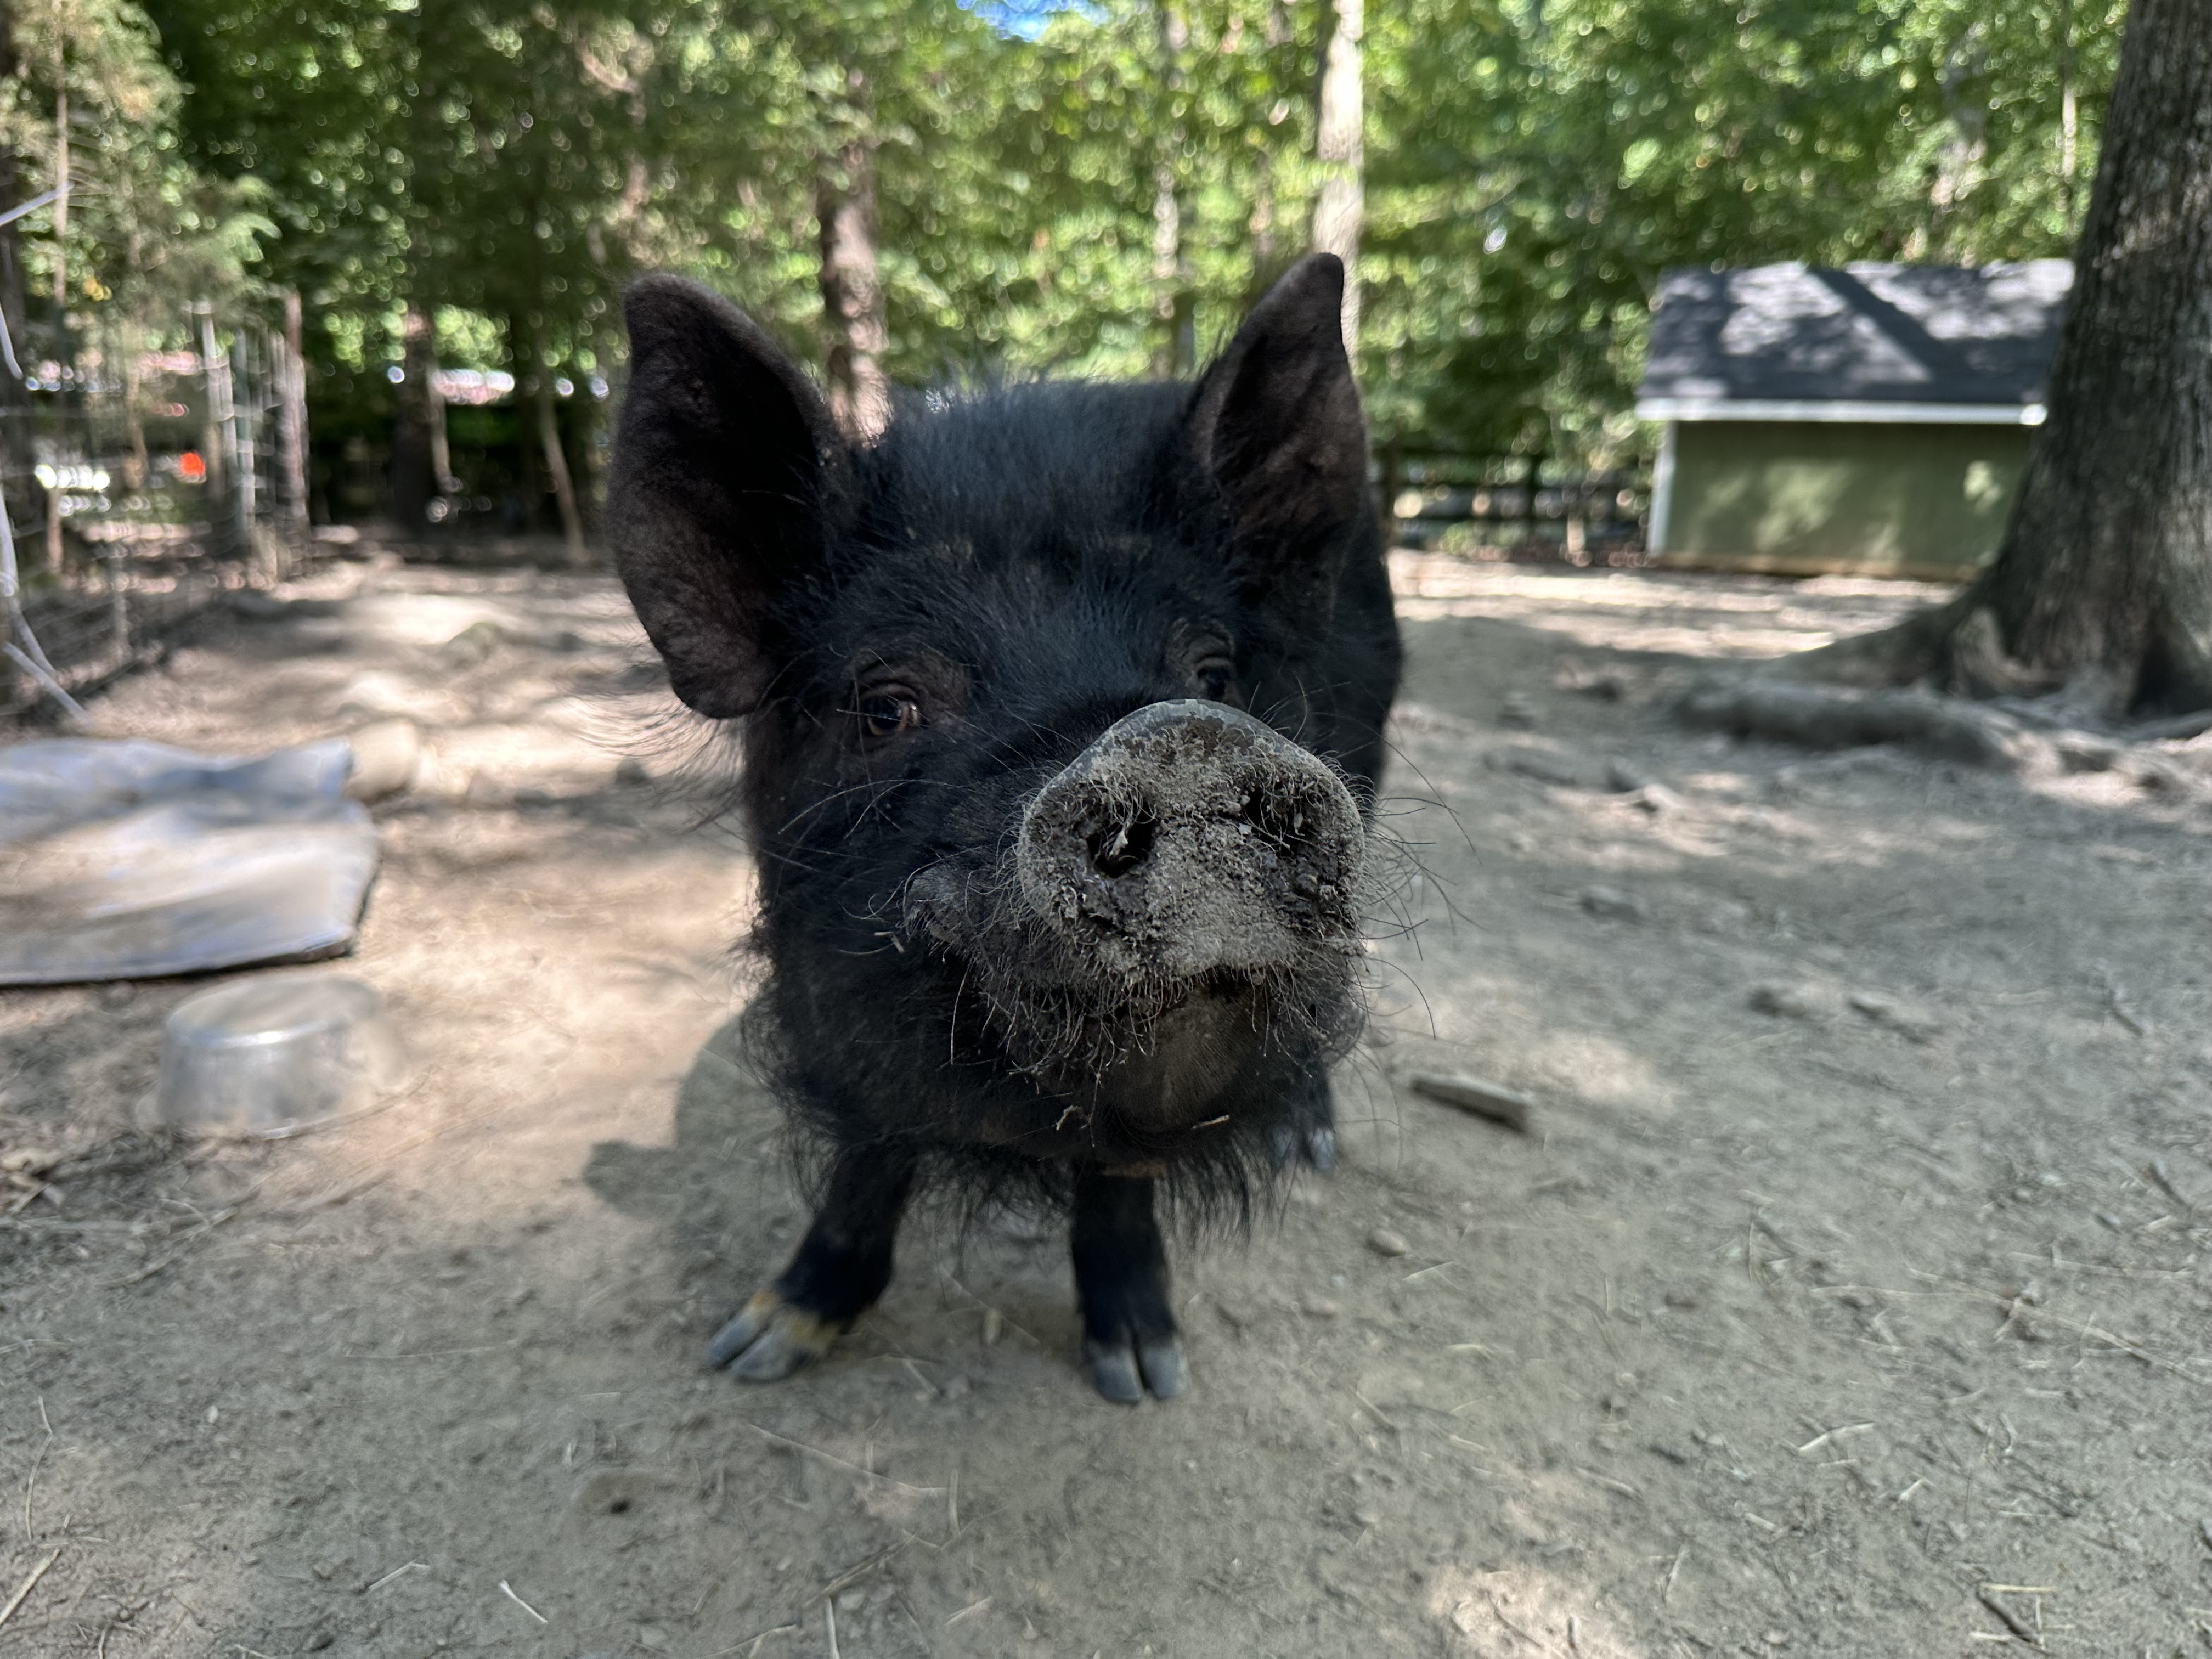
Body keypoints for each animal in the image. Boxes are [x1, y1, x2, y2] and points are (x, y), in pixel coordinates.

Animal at [610, 253, 1400, 1402]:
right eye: (887, 705)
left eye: (1213, 671)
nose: (1181, 737)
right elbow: (866, 1154)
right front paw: (758, 1346)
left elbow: (1121, 1172)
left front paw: (1142, 1374)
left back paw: (1312, 1141)